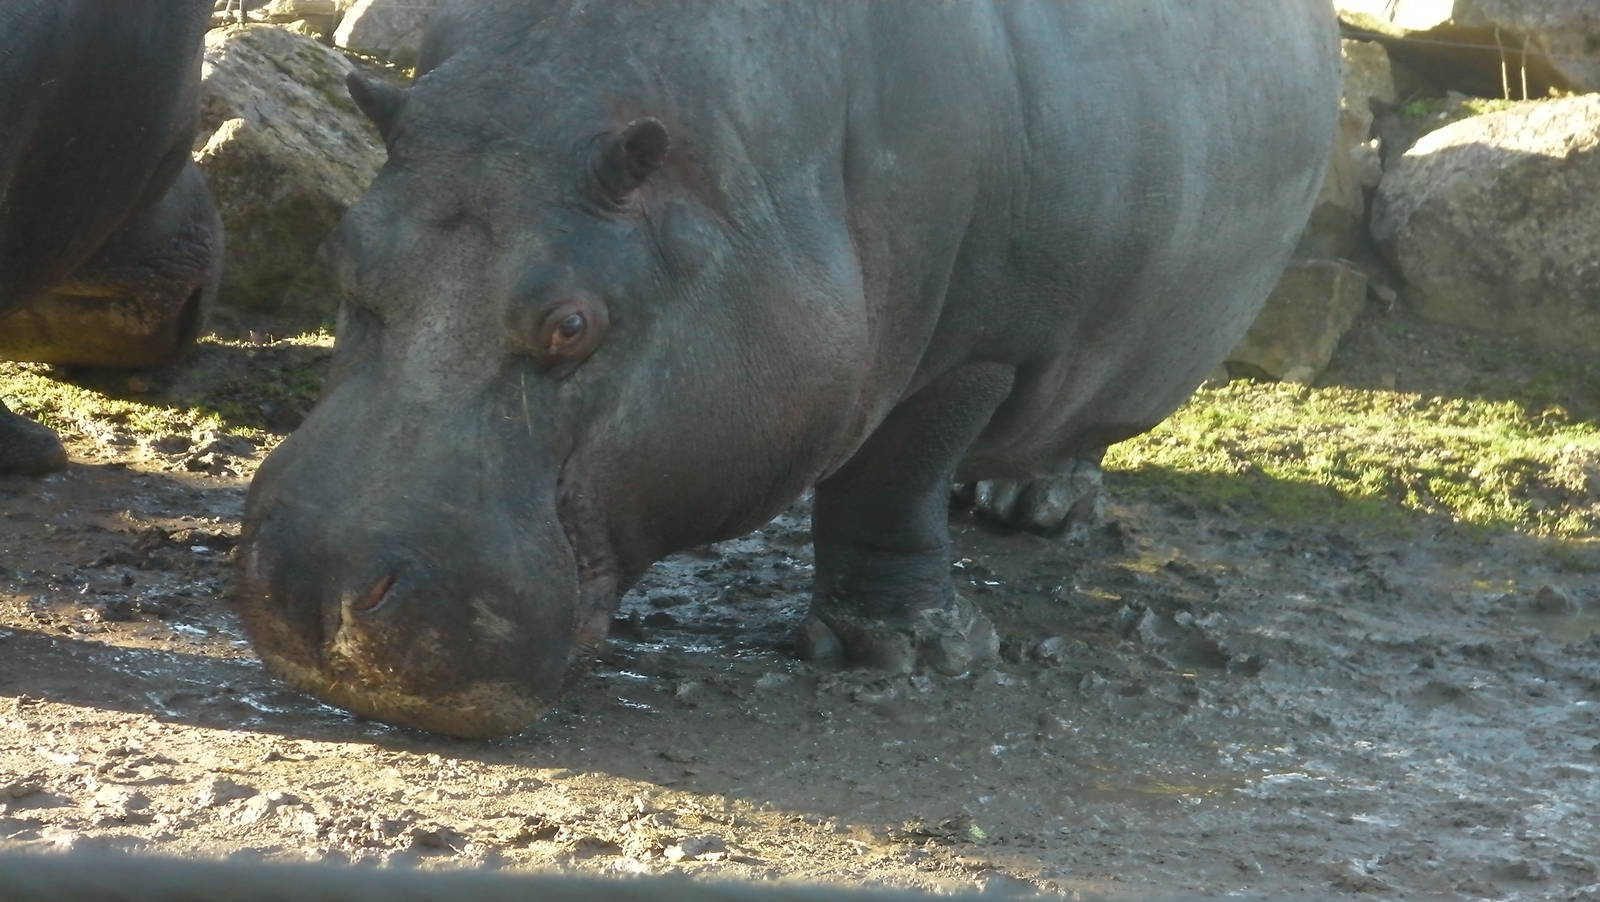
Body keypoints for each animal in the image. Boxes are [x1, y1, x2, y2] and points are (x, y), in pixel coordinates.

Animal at [237, 0, 1338, 738]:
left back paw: (1033, 505)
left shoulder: (975, 347)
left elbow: (892, 478)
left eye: (571, 324)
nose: (320, 580)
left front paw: (905, 654)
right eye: (340, 252)